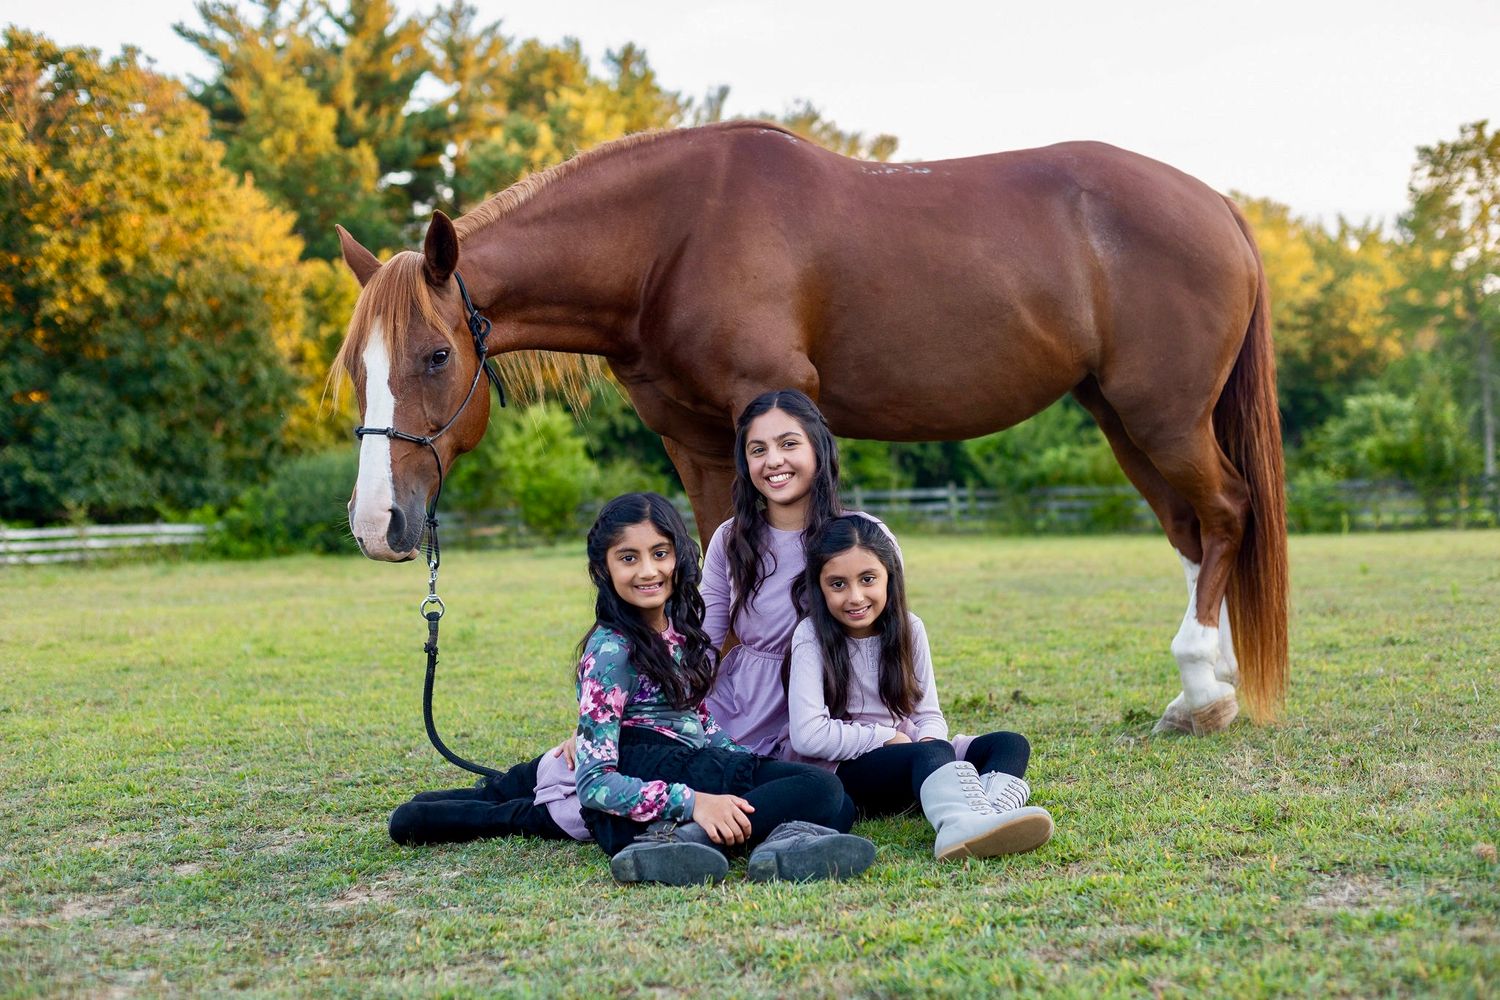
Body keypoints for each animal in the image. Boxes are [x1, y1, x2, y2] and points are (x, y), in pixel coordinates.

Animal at [331, 119, 1288, 736]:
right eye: (356, 369)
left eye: (434, 358)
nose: (379, 525)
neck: (670, 239)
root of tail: (1220, 208)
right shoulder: (695, 440)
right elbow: (715, 557)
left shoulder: (767, 414)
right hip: (1124, 419)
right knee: (1193, 531)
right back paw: (1210, 684)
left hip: (1164, 416)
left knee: (1226, 514)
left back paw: (1203, 695)